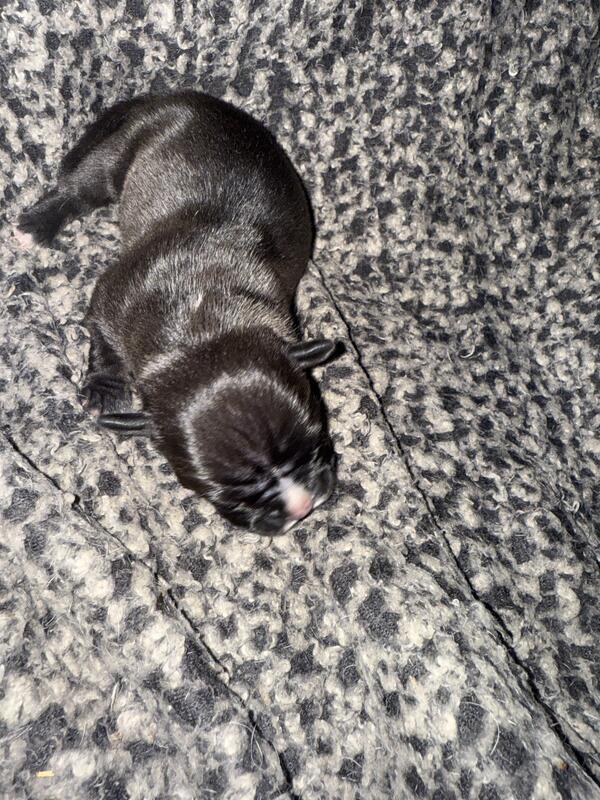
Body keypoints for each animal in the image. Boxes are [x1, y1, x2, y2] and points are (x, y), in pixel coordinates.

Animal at [19, 90, 341, 535]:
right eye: (228, 493)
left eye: (316, 443)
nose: (302, 506)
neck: (200, 333)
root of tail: (181, 97)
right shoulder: (110, 300)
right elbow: (104, 342)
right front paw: (105, 390)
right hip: (122, 146)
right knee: (82, 185)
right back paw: (37, 223)